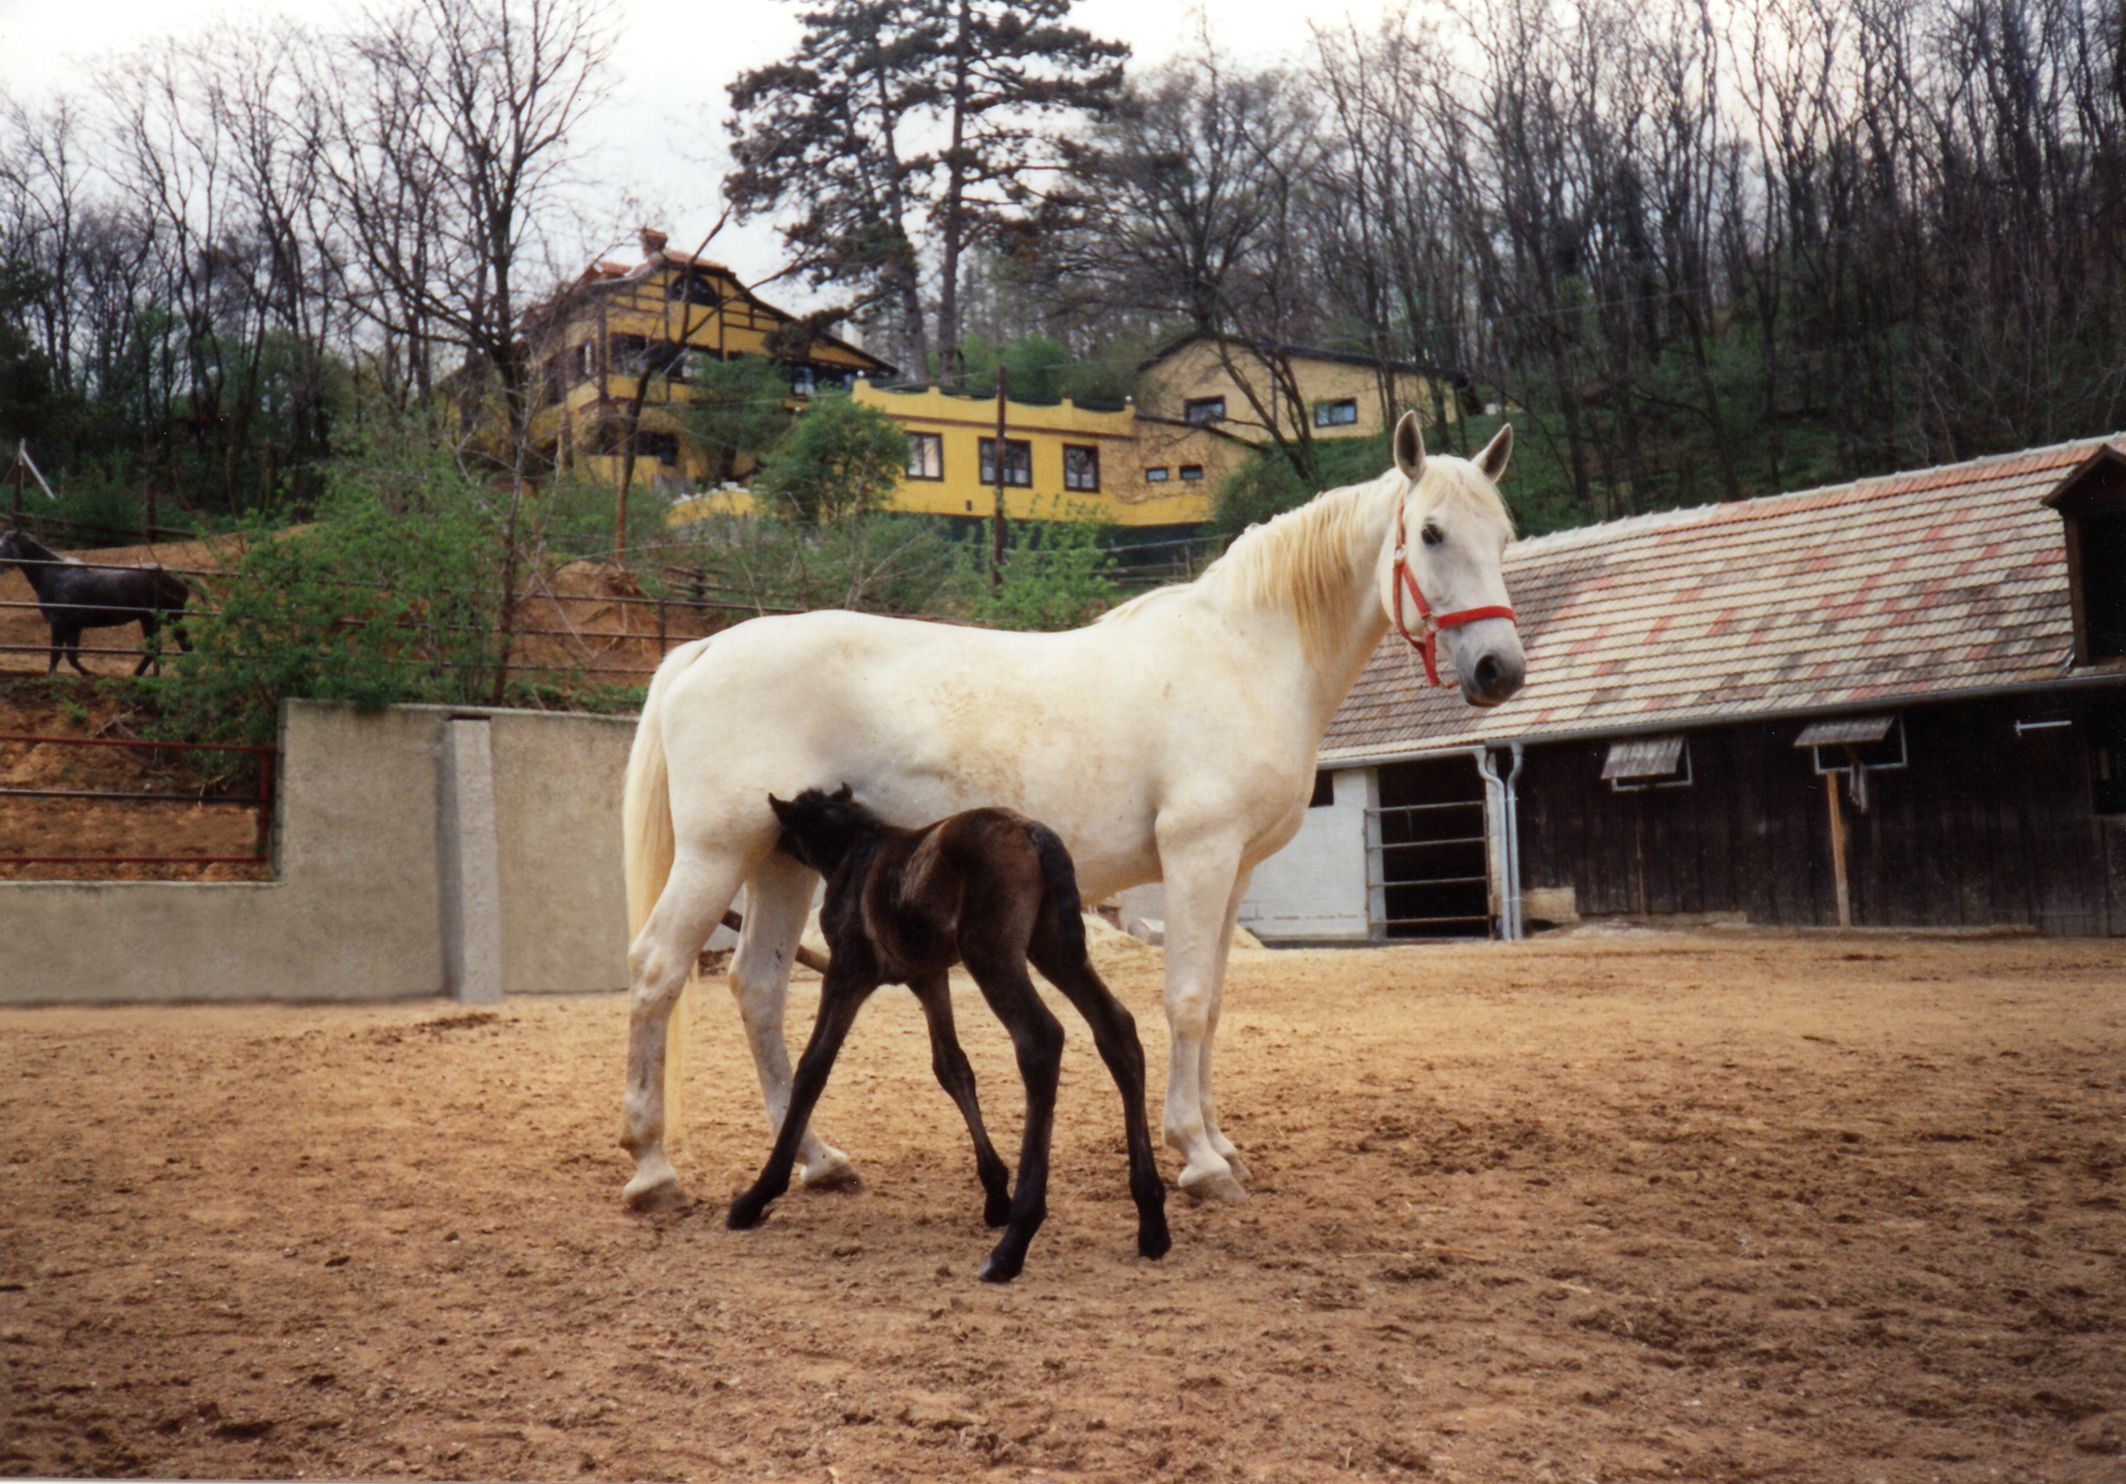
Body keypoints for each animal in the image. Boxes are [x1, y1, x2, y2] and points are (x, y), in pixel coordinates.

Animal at [0, 528, 197, 676]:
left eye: (3, 545)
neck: (56, 575)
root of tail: (175, 576)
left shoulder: (59, 623)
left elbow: (56, 654)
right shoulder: (74, 626)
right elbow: (71, 657)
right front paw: (89, 675)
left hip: (164, 618)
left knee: (174, 648)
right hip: (153, 619)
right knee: (166, 648)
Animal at [620, 412, 1523, 1212]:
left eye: (1505, 536)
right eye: (1432, 533)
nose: (1499, 669)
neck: (1243, 653)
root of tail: (705, 648)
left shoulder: (1234, 871)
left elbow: (1214, 1002)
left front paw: (1219, 1143)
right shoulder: (1198, 855)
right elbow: (1184, 999)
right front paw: (1199, 1160)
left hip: (779, 861)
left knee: (758, 990)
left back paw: (817, 1160)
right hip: (717, 855)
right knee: (657, 972)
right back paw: (653, 1170)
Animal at [725, 786, 1169, 1283]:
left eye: (789, 826)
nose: (774, 845)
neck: (855, 851)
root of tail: (1035, 833)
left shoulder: (848, 971)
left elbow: (813, 1066)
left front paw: (758, 1194)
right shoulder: (929, 976)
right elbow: (952, 1067)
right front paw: (995, 1193)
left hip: (991, 953)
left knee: (1041, 1039)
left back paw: (1012, 1245)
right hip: (1052, 945)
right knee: (1116, 1027)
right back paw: (1152, 1222)